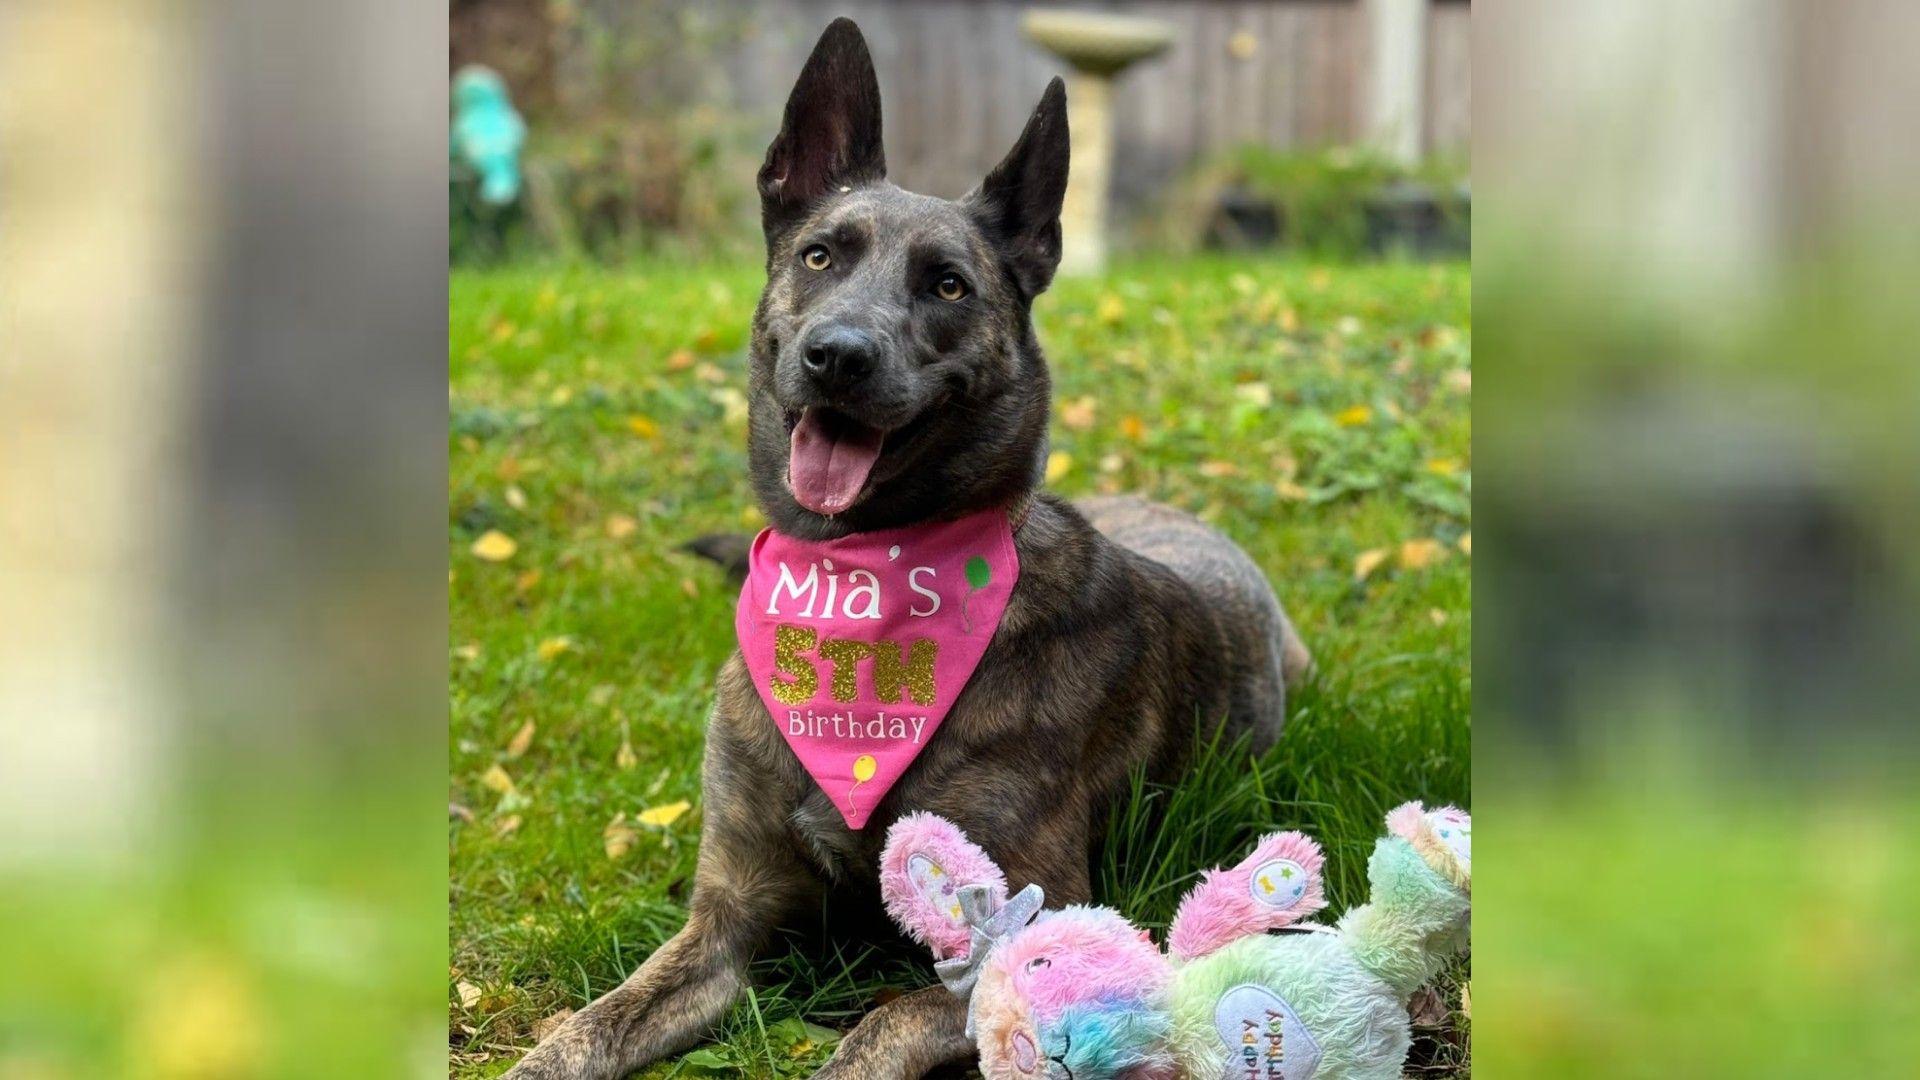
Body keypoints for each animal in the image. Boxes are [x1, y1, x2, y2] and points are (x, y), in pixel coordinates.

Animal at [506, 18, 1320, 1076]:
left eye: (947, 284)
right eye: (819, 256)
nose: (838, 356)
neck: (857, 578)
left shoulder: (1034, 936)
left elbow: (876, 1027)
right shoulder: (722, 924)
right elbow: (583, 1030)